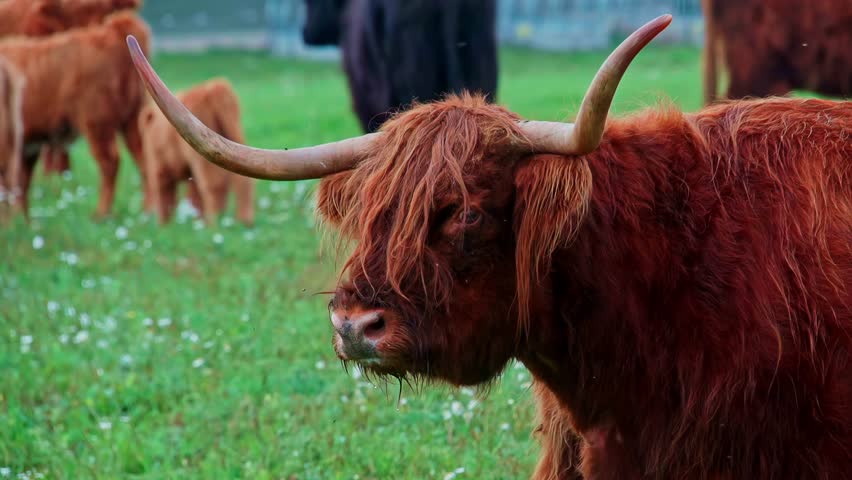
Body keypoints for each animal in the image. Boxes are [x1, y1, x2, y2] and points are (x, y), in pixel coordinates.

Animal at [1, 12, 151, 218]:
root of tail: (112, 31)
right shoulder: (28, 147)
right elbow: (22, 184)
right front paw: (23, 219)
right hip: (131, 121)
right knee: (144, 160)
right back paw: (147, 210)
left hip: (97, 124)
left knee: (110, 162)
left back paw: (100, 214)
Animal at [139, 79, 255, 226]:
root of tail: (215, 89)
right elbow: (195, 198)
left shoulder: (159, 168)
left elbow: (165, 198)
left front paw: (164, 227)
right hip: (233, 138)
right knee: (241, 180)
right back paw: (243, 221)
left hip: (204, 158)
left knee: (214, 184)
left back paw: (215, 223)